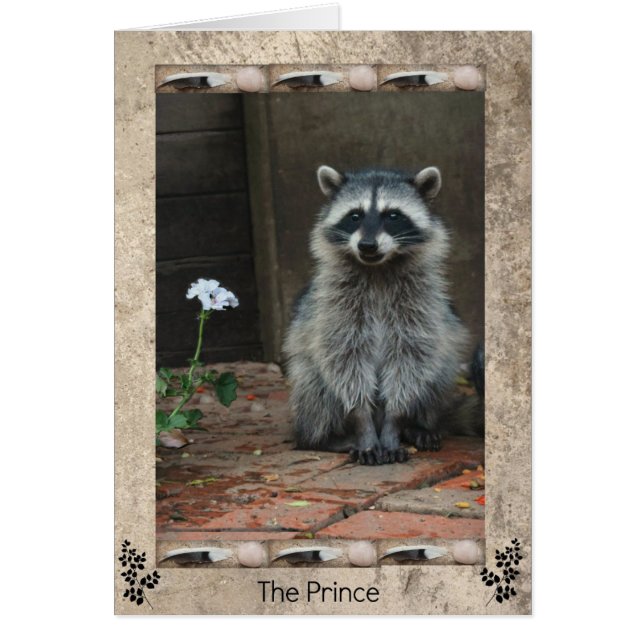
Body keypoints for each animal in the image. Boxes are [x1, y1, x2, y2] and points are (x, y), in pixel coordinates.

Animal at [283, 165, 474, 465]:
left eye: (393, 215)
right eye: (355, 216)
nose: (367, 245)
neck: (378, 269)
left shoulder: (422, 305)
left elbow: (410, 360)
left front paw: (396, 422)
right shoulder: (334, 306)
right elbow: (345, 361)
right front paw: (363, 425)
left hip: (441, 365)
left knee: (437, 373)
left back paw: (416, 426)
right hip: (307, 379)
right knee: (314, 385)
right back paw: (321, 438)